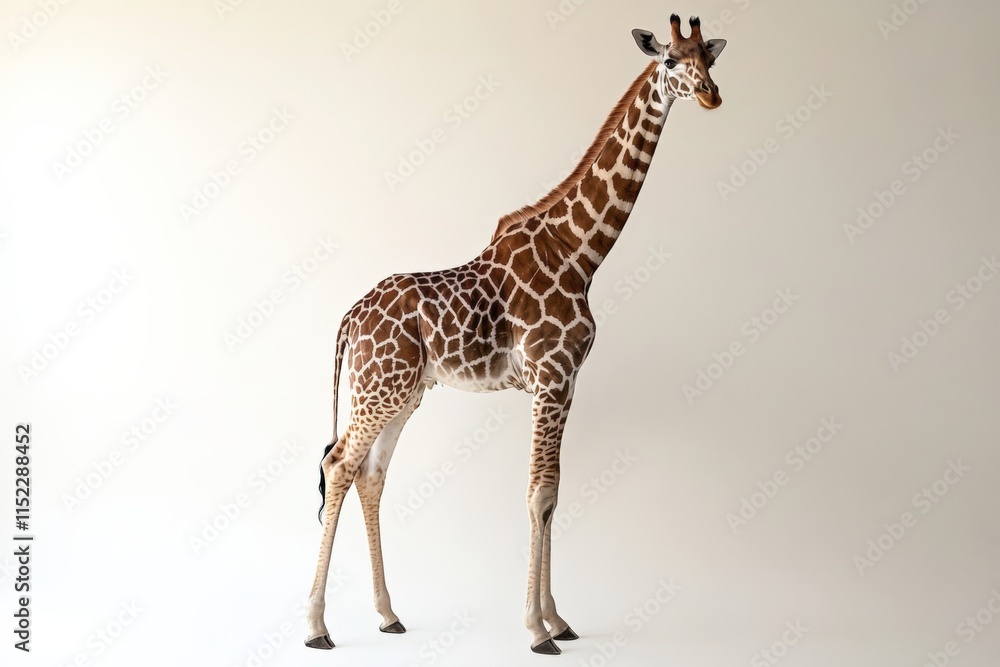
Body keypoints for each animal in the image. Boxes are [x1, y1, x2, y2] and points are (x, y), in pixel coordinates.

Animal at [305, 14, 726, 655]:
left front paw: (559, 620)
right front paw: (535, 629)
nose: (710, 94)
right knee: (337, 465)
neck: (580, 252)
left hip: (402, 392)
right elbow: (539, 493)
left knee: (369, 473)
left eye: (711, 57)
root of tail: (349, 320)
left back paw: (387, 614)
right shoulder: (550, 377)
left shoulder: (568, 382)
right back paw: (316, 626)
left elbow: (554, 491)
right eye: (671, 61)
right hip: (380, 388)